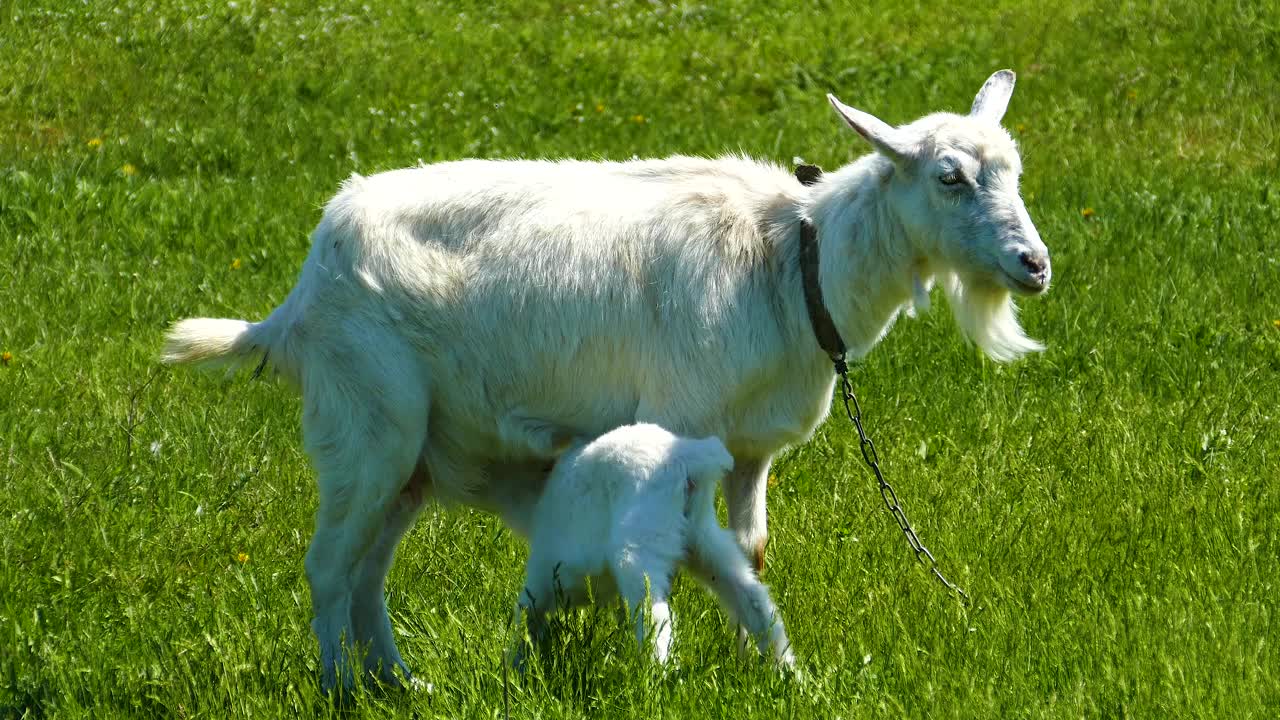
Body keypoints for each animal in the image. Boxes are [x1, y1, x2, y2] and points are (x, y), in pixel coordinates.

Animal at [162, 70, 1049, 686]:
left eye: (1013, 171)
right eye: (948, 178)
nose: (1034, 265)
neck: (792, 259)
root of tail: (299, 294)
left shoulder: (751, 451)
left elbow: (749, 555)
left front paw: (751, 661)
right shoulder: (678, 418)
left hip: (412, 453)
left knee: (367, 569)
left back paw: (397, 681)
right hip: (366, 420)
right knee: (327, 566)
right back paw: (340, 684)